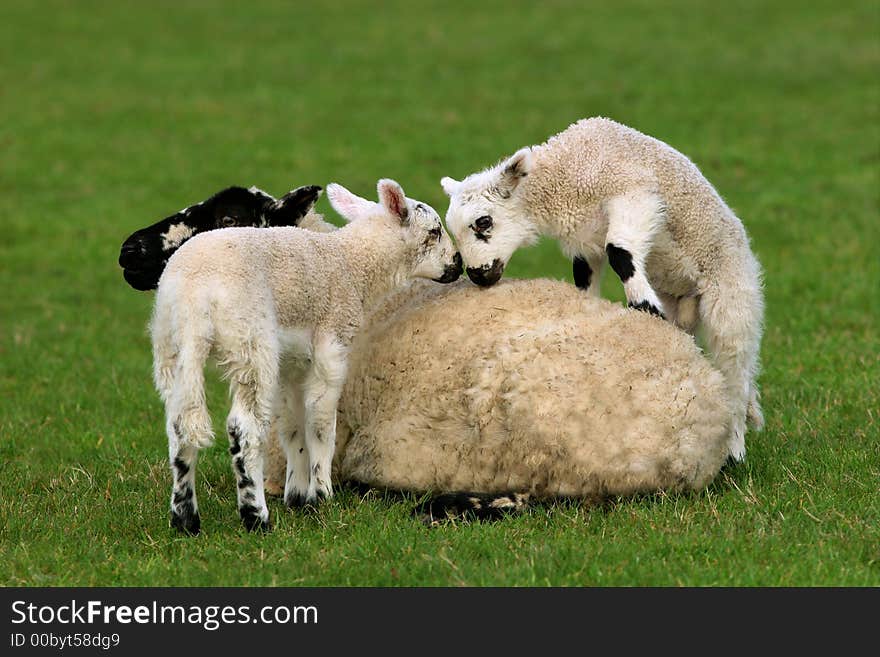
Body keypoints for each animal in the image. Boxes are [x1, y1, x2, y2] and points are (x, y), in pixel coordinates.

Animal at [152, 181, 464, 532]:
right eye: (434, 231)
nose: (458, 264)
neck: (353, 264)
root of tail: (193, 295)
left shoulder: (292, 361)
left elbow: (292, 424)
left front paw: (298, 495)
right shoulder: (332, 346)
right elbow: (321, 422)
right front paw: (322, 493)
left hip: (170, 345)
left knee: (179, 424)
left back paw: (185, 518)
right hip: (250, 339)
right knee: (244, 428)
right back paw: (255, 515)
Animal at [440, 115, 764, 462]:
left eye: (483, 222)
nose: (477, 275)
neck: (564, 176)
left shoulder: (635, 194)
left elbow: (619, 251)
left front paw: (644, 308)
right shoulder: (586, 242)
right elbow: (585, 278)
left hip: (732, 291)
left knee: (735, 370)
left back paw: (734, 449)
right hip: (681, 303)